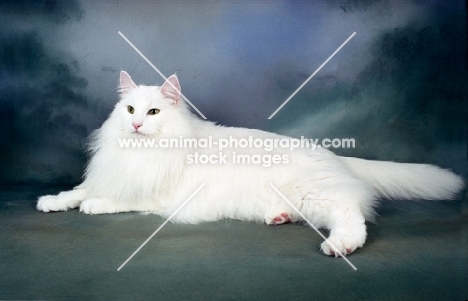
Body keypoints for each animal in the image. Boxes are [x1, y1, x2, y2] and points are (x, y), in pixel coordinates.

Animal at [36, 71, 464, 255]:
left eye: (153, 111)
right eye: (129, 110)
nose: (137, 124)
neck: (143, 153)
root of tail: (332, 153)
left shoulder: (157, 195)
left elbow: (114, 201)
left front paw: (94, 206)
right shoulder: (111, 175)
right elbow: (79, 190)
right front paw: (53, 201)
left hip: (318, 196)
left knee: (352, 215)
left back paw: (340, 246)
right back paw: (279, 218)